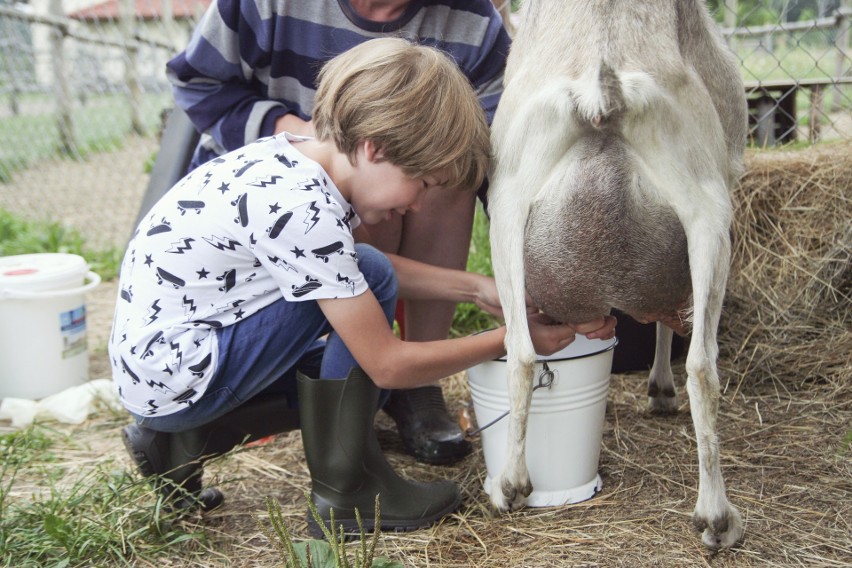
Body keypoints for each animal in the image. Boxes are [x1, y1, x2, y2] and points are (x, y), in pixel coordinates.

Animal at [486, 1, 744, 552]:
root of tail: (599, 91)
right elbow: (668, 318)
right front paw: (659, 390)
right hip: (710, 211)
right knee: (702, 367)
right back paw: (717, 518)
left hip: (507, 211)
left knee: (521, 352)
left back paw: (511, 487)